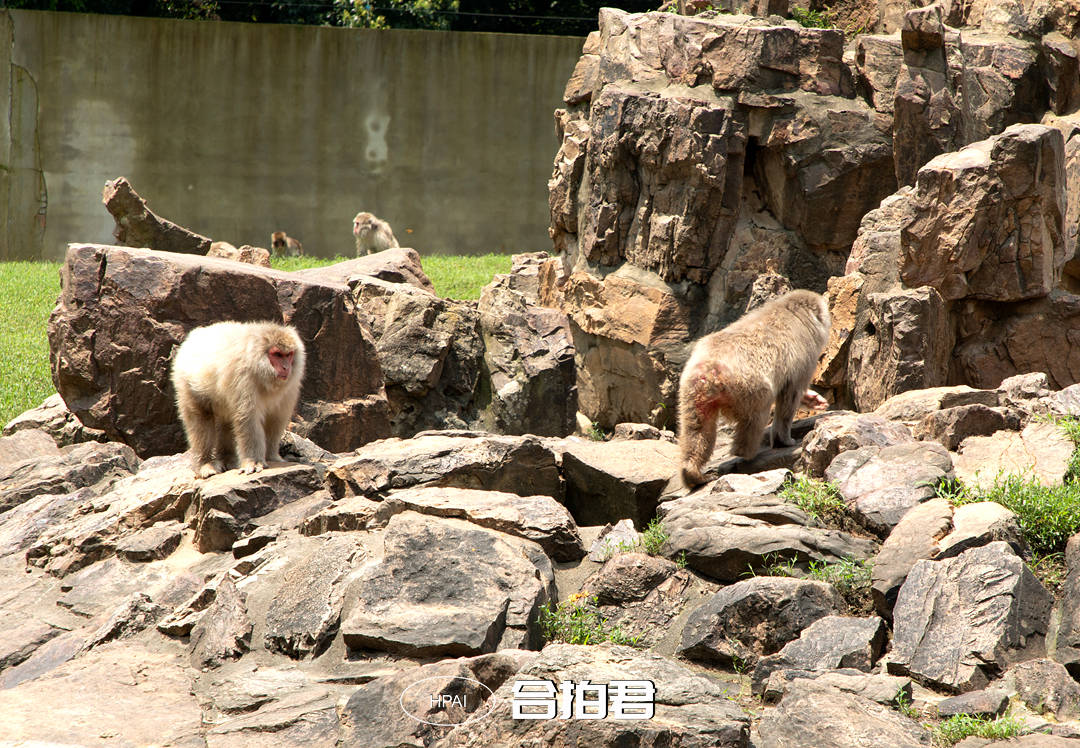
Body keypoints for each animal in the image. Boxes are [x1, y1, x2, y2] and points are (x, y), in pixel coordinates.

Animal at [169, 317, 304, 474]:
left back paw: (227, 458)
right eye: (277, 355)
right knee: (200, 420)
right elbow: (248, 418)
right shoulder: (243, 378)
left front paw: (272, 456)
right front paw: (253, 461)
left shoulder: (291, 384)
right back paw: (205, 463)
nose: (286, 367)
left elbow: (276, 418)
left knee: (225, 421)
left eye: (288, 355)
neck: (259, 367)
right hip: (186, 383)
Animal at [678, 289, 829, 487]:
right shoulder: (803, 355)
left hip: (693, 391)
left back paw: (693, 473)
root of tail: (711, 370)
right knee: (755, 416)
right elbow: (790, 393)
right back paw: (746, 451)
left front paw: (814, 399)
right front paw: (786, 439)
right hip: (748, 386)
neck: (798, 314)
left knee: (697, 429)